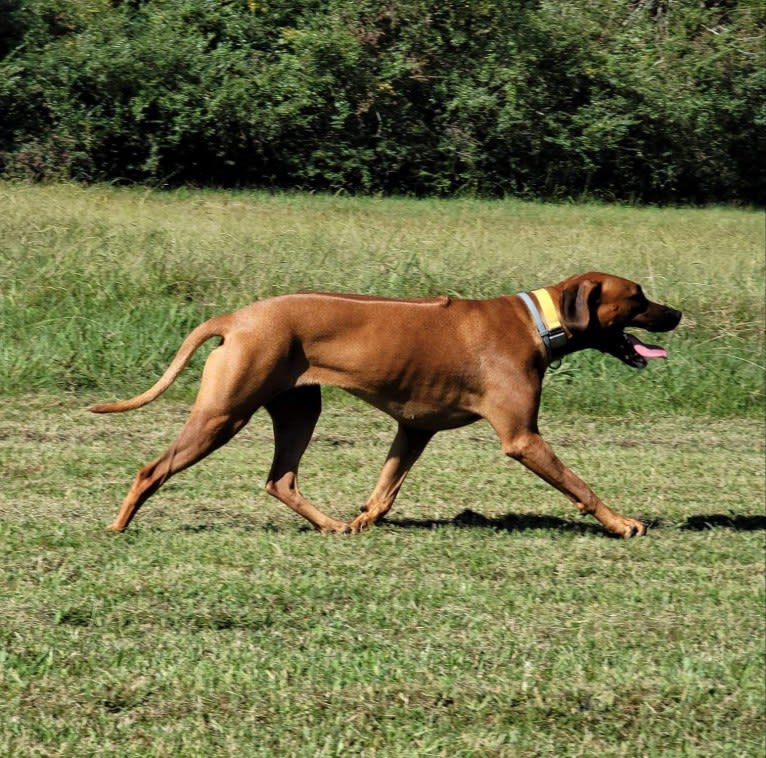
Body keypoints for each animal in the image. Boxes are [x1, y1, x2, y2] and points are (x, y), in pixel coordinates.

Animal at [90, 274, 684, 540]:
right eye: (636, 297)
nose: (676, 313)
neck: (539, 321)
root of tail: (236, 318)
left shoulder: (414, 429)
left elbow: (385, 489)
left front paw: (364, 518)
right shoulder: (523, 438)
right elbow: (579, 485)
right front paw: (622, 522)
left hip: (299, 409)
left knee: (281, 479)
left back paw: (332, 525)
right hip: (224, 413)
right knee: (152, 469)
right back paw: (119, 525)